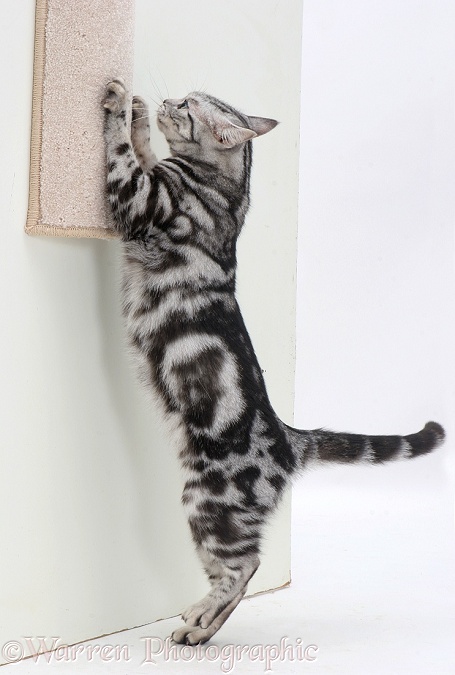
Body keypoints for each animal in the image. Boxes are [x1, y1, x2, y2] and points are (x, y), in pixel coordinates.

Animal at [102, 79, 446, 644]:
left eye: (188, 107)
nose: (168, 98)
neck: (227, 187)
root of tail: (289, 439)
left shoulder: (140, 198)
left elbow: (122, 156)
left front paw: (116, 102)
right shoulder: (155, 181)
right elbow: (144, 150)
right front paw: (137, 113)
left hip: (209, 503)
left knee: (245, 567)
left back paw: (198, 624)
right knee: (241, 571)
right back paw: (204, 626)